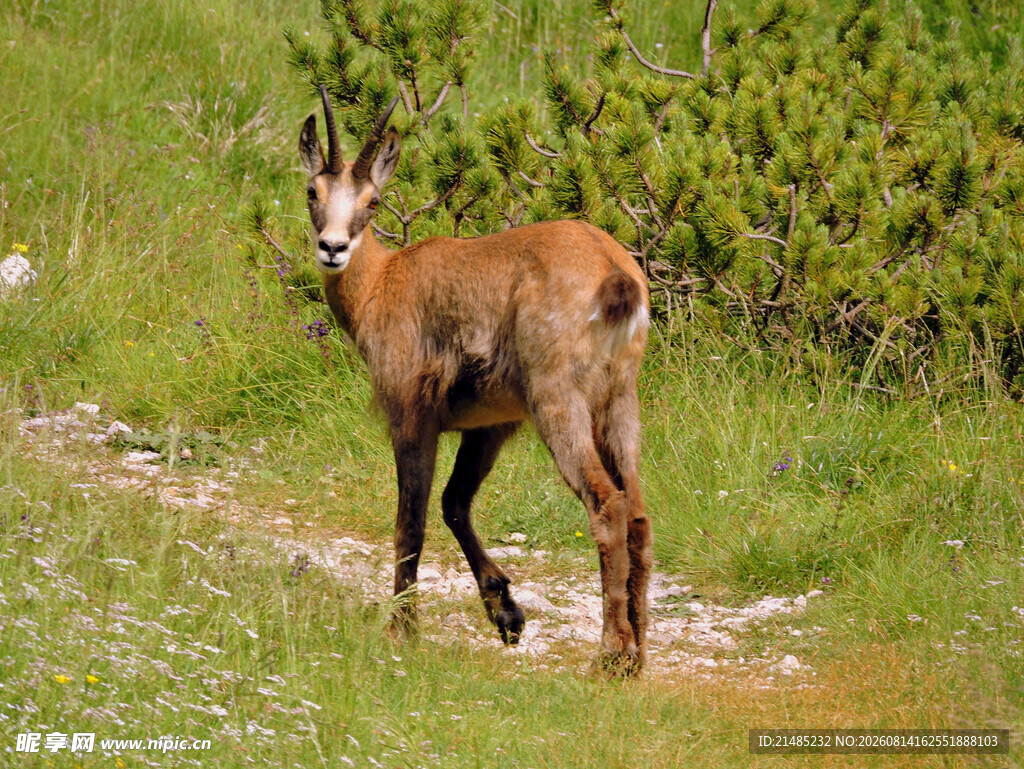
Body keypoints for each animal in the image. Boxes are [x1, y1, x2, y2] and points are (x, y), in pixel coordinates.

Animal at [299, 85, 652, 675]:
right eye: (312, 191)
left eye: (372, 201)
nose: (332, 248)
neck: (381, 285)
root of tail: (614, 274)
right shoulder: (490, 425)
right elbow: (454, 503)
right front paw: (506, 612)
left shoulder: (411, 413)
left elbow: (411, 520)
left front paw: (402, 631)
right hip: (619, 401)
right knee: (640, 511)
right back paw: (641, 650)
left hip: (559, 400)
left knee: (608, 503)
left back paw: (612, 652)